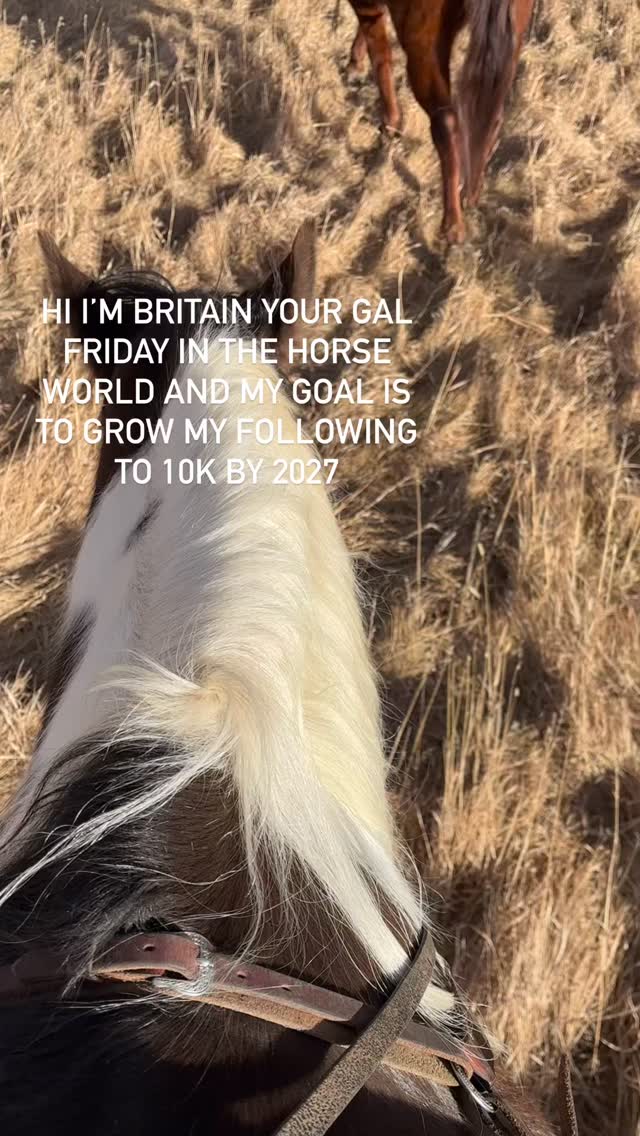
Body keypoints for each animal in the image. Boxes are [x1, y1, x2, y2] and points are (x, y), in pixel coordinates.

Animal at [346, 0, 535, 242]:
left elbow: (380, 56)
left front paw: (391, 123)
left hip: (424, 47)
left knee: (446, 123)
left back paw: (452, 225)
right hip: (514, 35)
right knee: (491, 120)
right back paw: (471, 195)